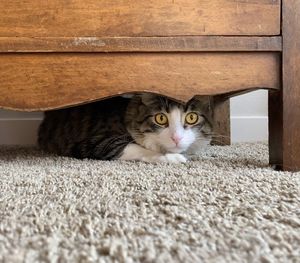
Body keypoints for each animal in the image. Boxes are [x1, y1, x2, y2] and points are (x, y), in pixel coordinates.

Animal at [38, 93, 213, 163]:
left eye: (191, 117)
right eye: (161, 118)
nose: (176, 138)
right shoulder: (93, 143)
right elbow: (136, 148)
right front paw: (171, 157)